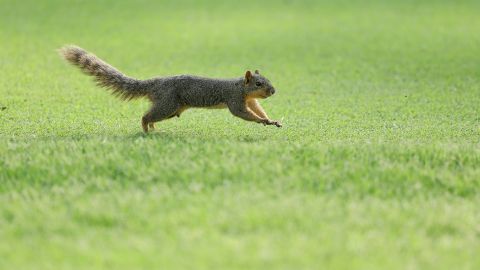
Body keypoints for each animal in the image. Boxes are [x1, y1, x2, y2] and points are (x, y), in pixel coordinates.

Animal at [62, 45, 284, 132]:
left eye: (267, 79)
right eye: (258, 83)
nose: (273, 91)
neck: (241, 87)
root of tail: (155, 83)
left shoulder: (250, 100)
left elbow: (257, 109)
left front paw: (270, 119)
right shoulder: (234, 99)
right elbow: (242, 113)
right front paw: (263, 121)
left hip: (170, 109)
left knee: (150, 115)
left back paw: (153, 129)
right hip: (168, 105)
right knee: (145, 116)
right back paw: (146, 130)